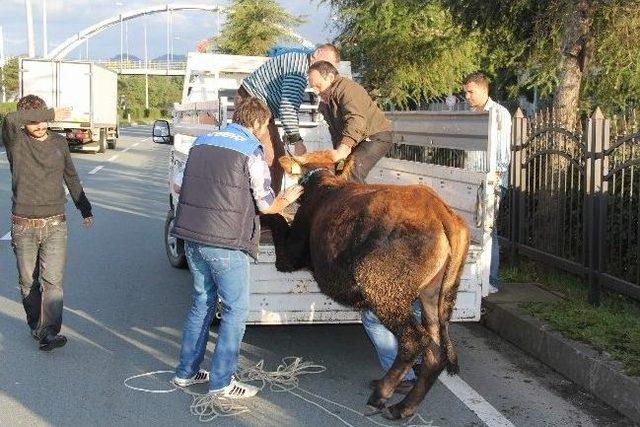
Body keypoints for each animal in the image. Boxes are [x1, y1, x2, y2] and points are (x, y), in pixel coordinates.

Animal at [264, 151, 470, 422]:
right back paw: (402, 407)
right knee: (435, 353)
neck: (322, 182)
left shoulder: (290, 256)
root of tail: (439, 210)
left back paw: (381, 395)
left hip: (384, 290)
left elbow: (276, 218)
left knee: (414, 341)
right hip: (432, 296)